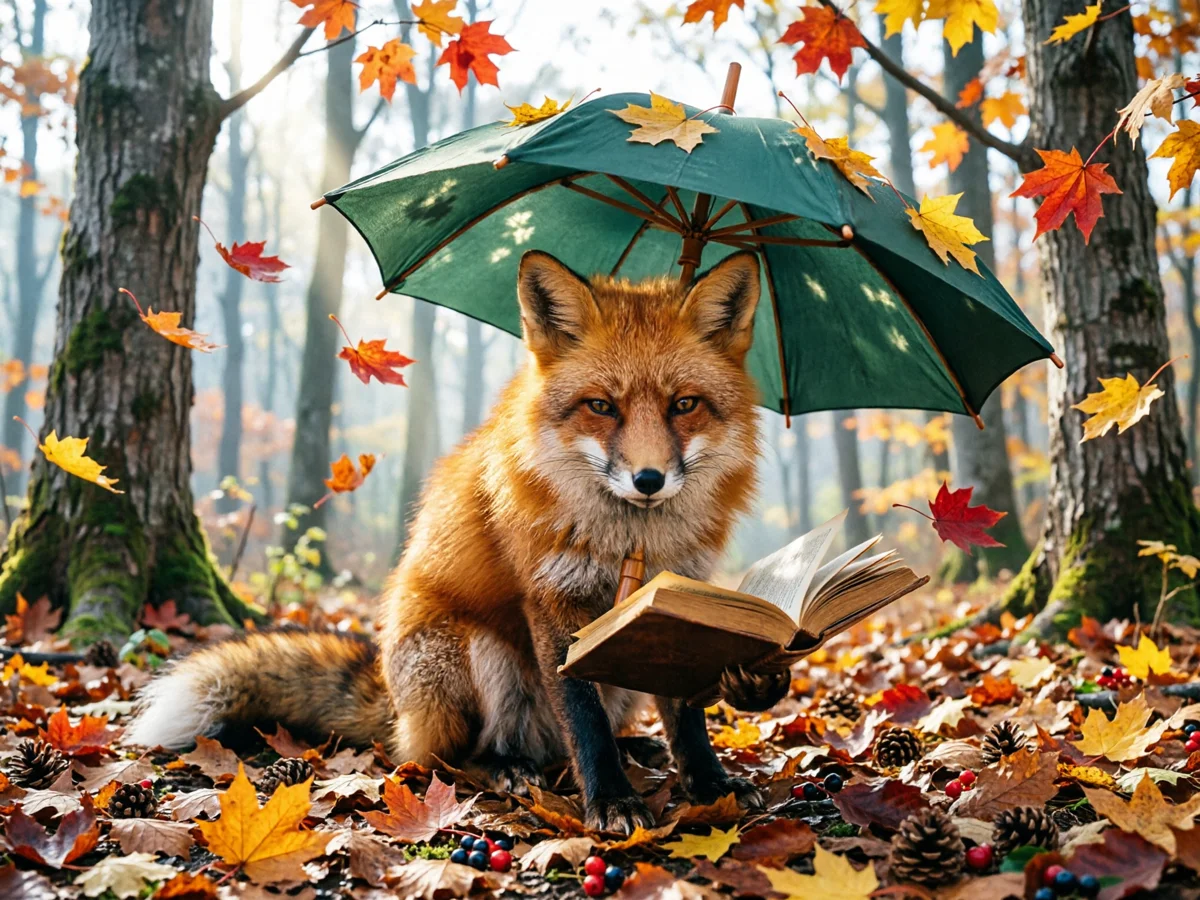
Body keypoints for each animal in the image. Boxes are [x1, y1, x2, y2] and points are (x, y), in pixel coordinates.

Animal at [126, 249, 793, 834]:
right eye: (602, 406)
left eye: (685, 405)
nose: (648, 480)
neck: (631, 539)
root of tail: (394, 703)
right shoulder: (552, 602)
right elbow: (584, 719)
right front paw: (610, 800)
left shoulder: (669, 604)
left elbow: (686, 715)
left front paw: (710, 781)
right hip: (475, 653)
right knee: (439, 757)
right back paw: (505, 768)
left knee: (568, 741)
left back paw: (636, 751)